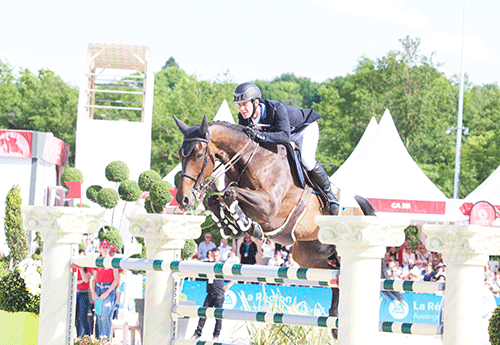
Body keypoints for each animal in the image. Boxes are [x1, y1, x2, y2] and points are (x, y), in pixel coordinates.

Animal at [174, 114, 376, 338]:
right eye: (181, 155)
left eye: (199, 155)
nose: (183, 199)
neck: (252, 159)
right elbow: (216, 199)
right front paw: (231, 226)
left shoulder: (269, 207)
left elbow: (230, 193)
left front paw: (244, 224)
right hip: (310, 255)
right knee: (335, 281)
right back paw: (334, 321)